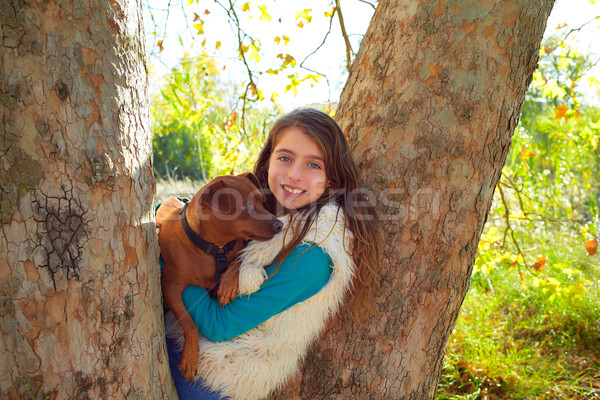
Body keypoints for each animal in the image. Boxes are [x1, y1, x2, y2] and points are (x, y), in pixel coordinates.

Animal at [158, 172, 282, 382]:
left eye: (261, 201)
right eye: (245, 207)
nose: (279, 224)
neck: (215, 249)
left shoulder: (239, 246)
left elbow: (239, 260)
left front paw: (227, 286)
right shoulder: (170, 286)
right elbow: (189, 324)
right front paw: (190, 358)